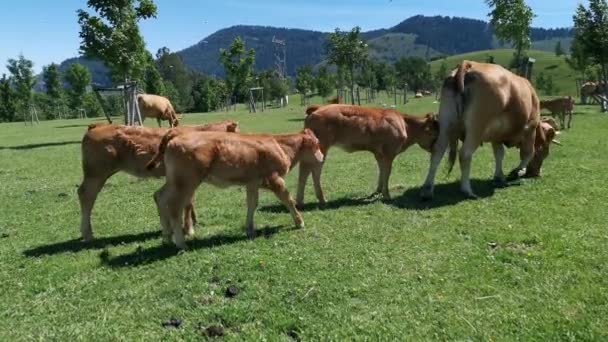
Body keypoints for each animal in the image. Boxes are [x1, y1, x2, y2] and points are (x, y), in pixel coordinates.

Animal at [79, 121, 241, 242]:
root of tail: (97, 126)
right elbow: (188, 203)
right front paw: (189, 229)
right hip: (96, 174)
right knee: (86, 196)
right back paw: (88, 234)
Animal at [146, 128, 324, 248]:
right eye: (317, 143)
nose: (322, 157)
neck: (280, 146)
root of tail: (175, 135)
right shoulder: (275, 179)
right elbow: (288, 200)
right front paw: (299, 222)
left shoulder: (252, 183)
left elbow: (252, 204)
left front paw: (249, 229)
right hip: (186, 182)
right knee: (174, 206)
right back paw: (181, 243)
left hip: (175, 181)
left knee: (159, 196)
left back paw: (167, 237)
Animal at [298, 104, 436, 206]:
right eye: (433, 133)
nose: (434, 149)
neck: (405, 124)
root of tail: (317, 108)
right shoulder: (389, 153)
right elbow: (387, 173)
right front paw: (387, 195)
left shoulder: (379, 154)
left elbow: (381, 171)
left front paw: (378, 191)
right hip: (321, 148)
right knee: (312, 171)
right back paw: (320, 199)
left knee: (305, 171)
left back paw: (301, 201)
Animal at [420, 60, 560, 200]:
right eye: (544, 152)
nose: (537, 174)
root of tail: (469, 64)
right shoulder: (530, 128)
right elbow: (528, 153)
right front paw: (517, 171)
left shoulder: (496, 135)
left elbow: (499, 154)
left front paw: (499, 176)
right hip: (476, 127)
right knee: (465, 154)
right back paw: (467, 190)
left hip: (445, 124)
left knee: (437, 152)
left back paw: (427, 189)